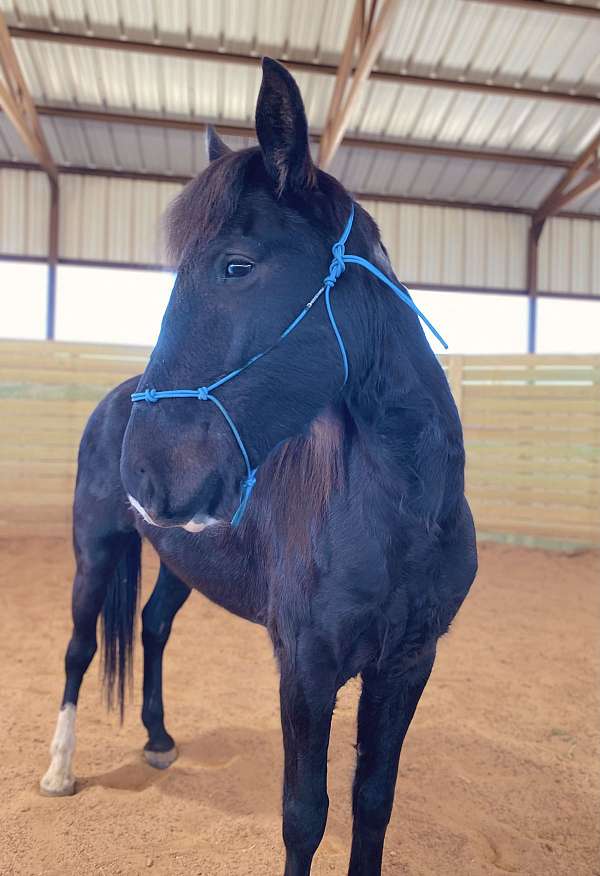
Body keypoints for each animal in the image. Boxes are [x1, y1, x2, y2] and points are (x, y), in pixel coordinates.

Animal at [40, 58, 477, 876]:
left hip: (180, 560)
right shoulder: (305, 668)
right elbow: (304, 816)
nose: (145, 470)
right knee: (80, 649)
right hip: (96, 551)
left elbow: (373, 805)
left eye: (236, 266)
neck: (400, 514)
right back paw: (58, 770)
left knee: (151, 626)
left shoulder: (408, 664)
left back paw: (157, 740)